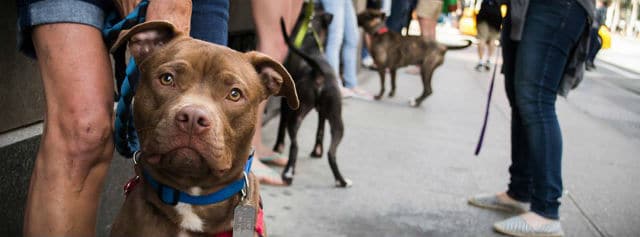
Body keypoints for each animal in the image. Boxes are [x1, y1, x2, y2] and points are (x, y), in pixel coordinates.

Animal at [274, 16, 352, 187]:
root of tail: (318, 72)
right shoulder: (322, 111)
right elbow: (320, 130)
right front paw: (317, 151)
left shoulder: (284, 103)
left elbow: (281, 125)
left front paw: (277, 147)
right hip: (337, 121)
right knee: (331, 153)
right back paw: (341, 180)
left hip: (296, 115)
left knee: (295, 145)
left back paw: (288, 173)